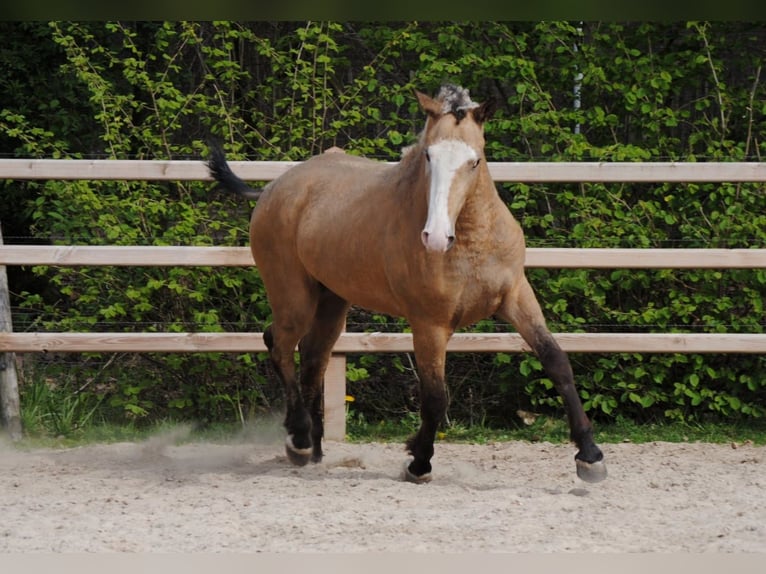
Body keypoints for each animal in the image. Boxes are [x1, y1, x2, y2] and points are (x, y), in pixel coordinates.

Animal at [208, 84, 606, 484]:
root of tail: (274, 187)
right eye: (428, 156)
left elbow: (557, 362)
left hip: (332, 302)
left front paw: (590, 456)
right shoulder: (430, 323)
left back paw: (315, 450)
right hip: (294, 298)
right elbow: (435, 396)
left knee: (312, 358)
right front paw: (419, 462)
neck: (471, 242)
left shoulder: (516, 297)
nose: (435, 237)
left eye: (475, 160)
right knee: (279, 346)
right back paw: (300, 440)